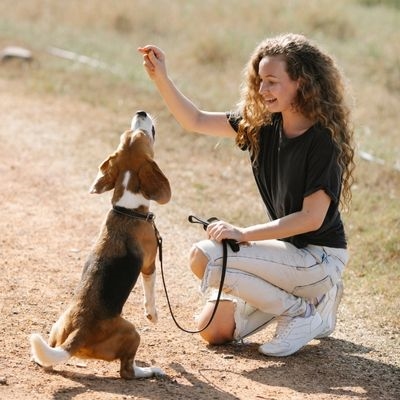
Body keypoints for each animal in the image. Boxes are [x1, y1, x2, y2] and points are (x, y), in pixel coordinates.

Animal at [29, 110, 170, 378]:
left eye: (129, 134)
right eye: (141, 134)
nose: (141, 112)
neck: (127, 209)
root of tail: (76, 335)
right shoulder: (149, 264)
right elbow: (151, 291)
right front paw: (153, 314)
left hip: (56, 328)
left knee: (47, 359)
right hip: (132, 332)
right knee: (127, 371)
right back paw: (150, 370)